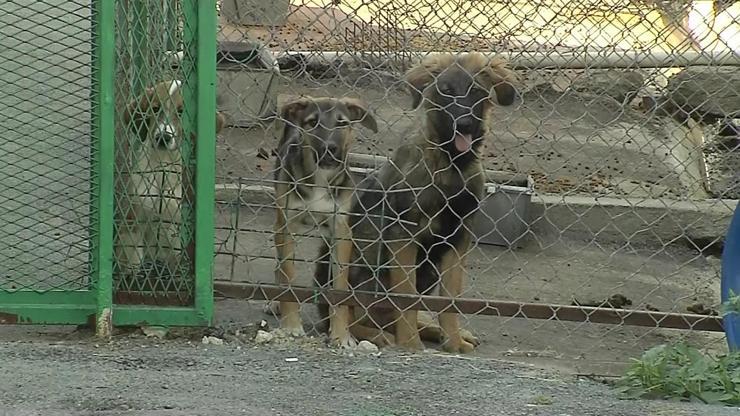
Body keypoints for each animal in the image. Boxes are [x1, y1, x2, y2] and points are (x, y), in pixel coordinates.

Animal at [268, 96, 378, 346]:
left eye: (342, 123)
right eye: (312, 123)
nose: (330, 148)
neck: (320, 178)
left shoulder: (341, 232)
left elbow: (340, 288)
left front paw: (341, 335)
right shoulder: (287, 227)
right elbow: (288, 275)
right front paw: (291, 325)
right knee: (279, 265)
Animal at [312, 51, 516, 352]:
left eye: (477, 91)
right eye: (446, 91)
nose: (464, 125)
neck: (450, 165)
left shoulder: (458, 238)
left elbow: (449, 300)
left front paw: (453, 341)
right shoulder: (403, 235)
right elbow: (405, 296)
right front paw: (410, 344)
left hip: (428, 270)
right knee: (351, 316)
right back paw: (380, 336)